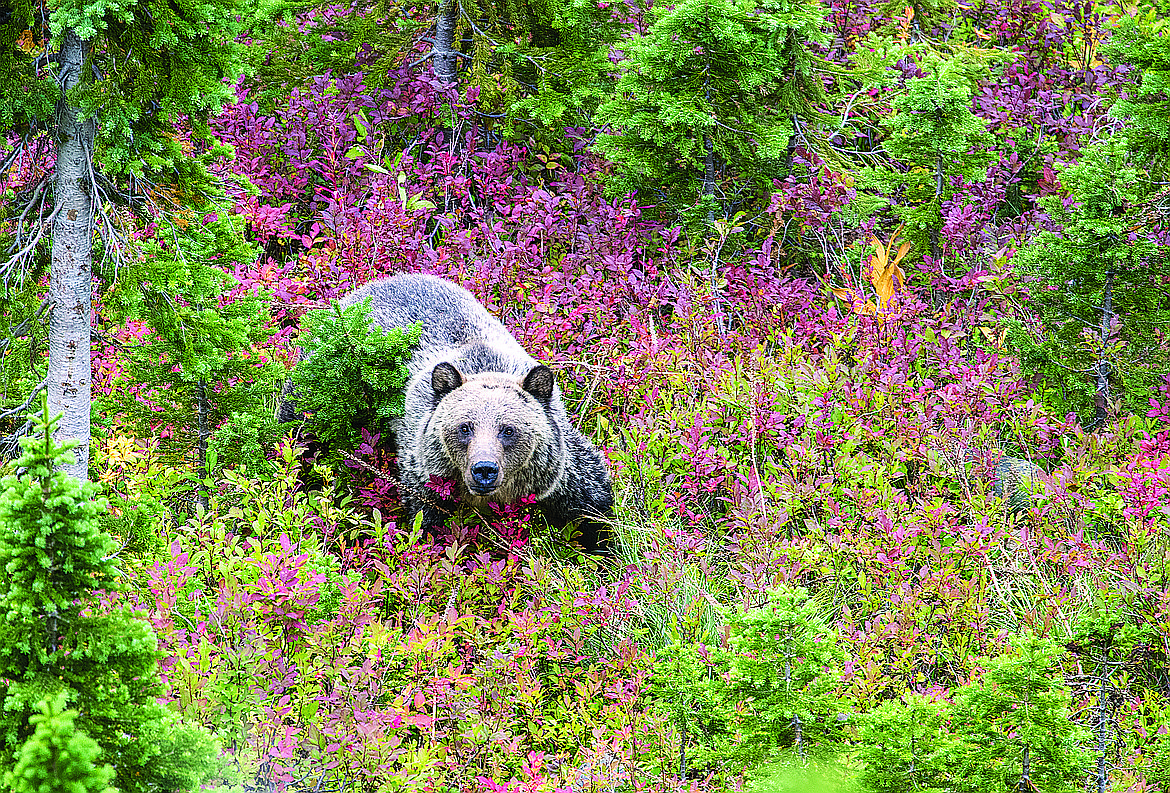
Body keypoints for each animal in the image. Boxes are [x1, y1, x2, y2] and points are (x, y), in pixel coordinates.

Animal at [279, 276, 617, 556]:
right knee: (299, 419)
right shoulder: (423, 464)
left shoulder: (559, 469)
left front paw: (604, 547)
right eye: (464, 428)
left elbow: (593, 500)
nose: (484, 469)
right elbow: (425, 517)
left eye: (508, 430)